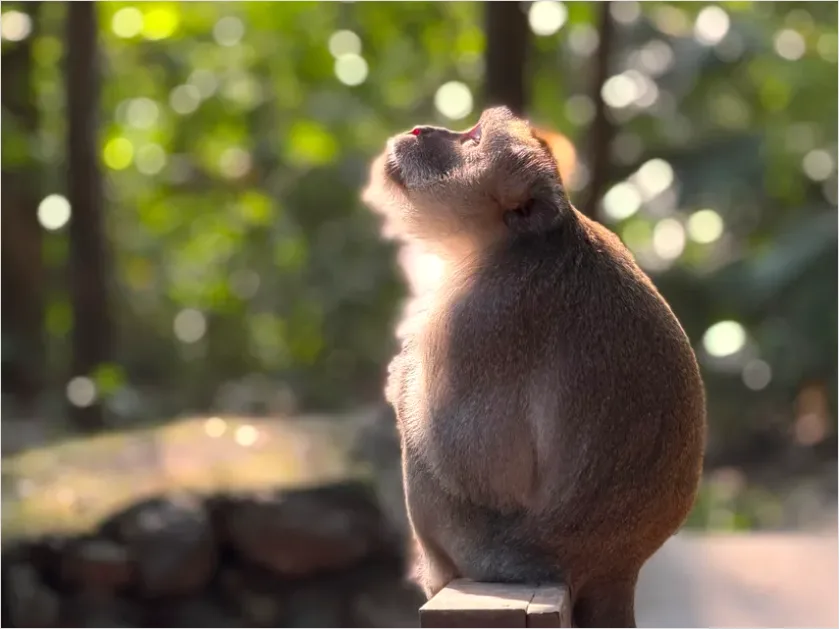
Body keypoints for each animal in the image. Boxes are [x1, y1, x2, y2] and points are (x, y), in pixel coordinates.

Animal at [362, 106, 706, 628]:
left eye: (472, 139)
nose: (423, 129)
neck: (509, 243)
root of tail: (620, 564)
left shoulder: (478, 319)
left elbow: (477, 466)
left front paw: (399, 375)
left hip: (478, 547)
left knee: (425, 458)